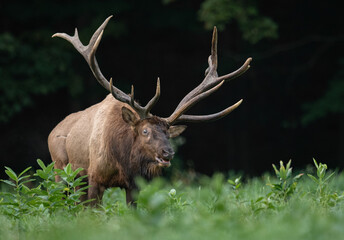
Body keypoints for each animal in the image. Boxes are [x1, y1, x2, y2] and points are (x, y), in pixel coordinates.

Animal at [47, 15, 253, 205]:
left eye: (168, 132)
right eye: (145, 131)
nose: (167, 153)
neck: (123, 161)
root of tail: (53, 131)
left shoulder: (134, 185)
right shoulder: (94, 176)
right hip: (60, 169)